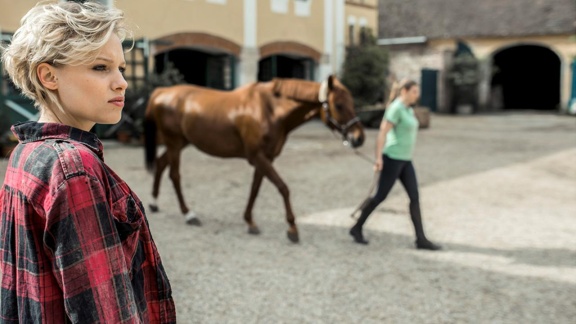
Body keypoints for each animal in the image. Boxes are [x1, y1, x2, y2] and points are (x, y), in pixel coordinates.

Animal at [144, 75, 364, 243]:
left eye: (352, 102)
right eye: (339, 105)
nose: (359, 138)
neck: (270, 110)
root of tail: (161, 92)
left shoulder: (266, 158)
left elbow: (255, 189)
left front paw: (250, 221)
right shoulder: (257, 156)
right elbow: (283, 187)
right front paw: (292, 228)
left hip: (181, 142)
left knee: (161, 164)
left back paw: (154, 203)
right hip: (174, 143)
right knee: (174, 175)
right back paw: (189, 214)